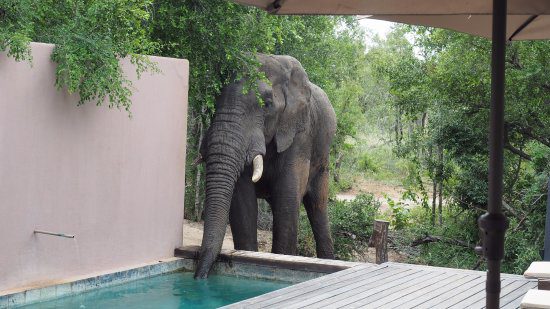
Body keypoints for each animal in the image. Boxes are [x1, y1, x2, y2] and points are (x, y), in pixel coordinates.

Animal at [196, 54, 338, 278]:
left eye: (268, 104)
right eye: (216, 99)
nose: (199, 278)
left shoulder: (300, 133)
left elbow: (286, 198)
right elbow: (242, 200)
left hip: (322, 160)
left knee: (318, 208)